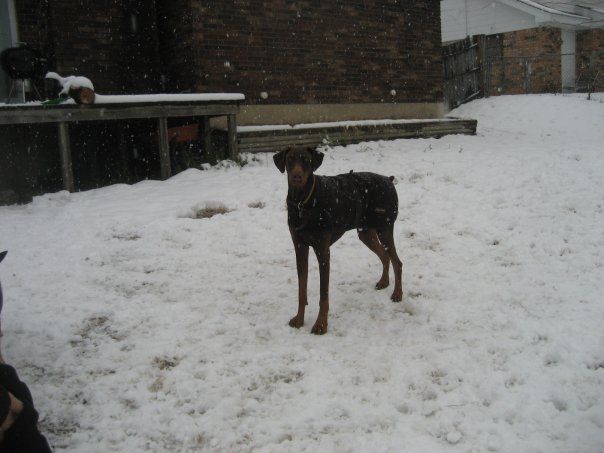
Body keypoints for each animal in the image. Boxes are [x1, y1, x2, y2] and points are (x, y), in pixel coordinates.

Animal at [276, 147, 404, 334]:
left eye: (306, 160)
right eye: (290, 159)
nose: (297, 176)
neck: (303, 202)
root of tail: (389, 179)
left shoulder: (323, 251)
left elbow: (323, 295)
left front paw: (321, 325)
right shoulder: (299, 247)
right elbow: (301, 289)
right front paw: (299, 319)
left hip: (384, 228)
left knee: (397, 262)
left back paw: (397, 294)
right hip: (365, 232)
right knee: (385, 255)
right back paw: (383, 282)